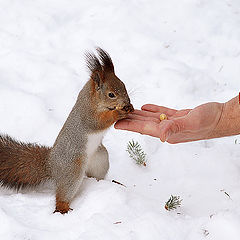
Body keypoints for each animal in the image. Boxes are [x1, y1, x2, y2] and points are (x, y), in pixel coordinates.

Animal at [0, 47, 133, 214]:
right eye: (111, 94)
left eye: (124, 85)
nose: (127, 102)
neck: (93, 100)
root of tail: (51, 164)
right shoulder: (87, 114)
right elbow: (98, 122)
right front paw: (118, 112)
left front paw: (130, 108)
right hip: (72, 169)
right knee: (63, 193)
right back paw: (63, 208)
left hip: (100, 159)